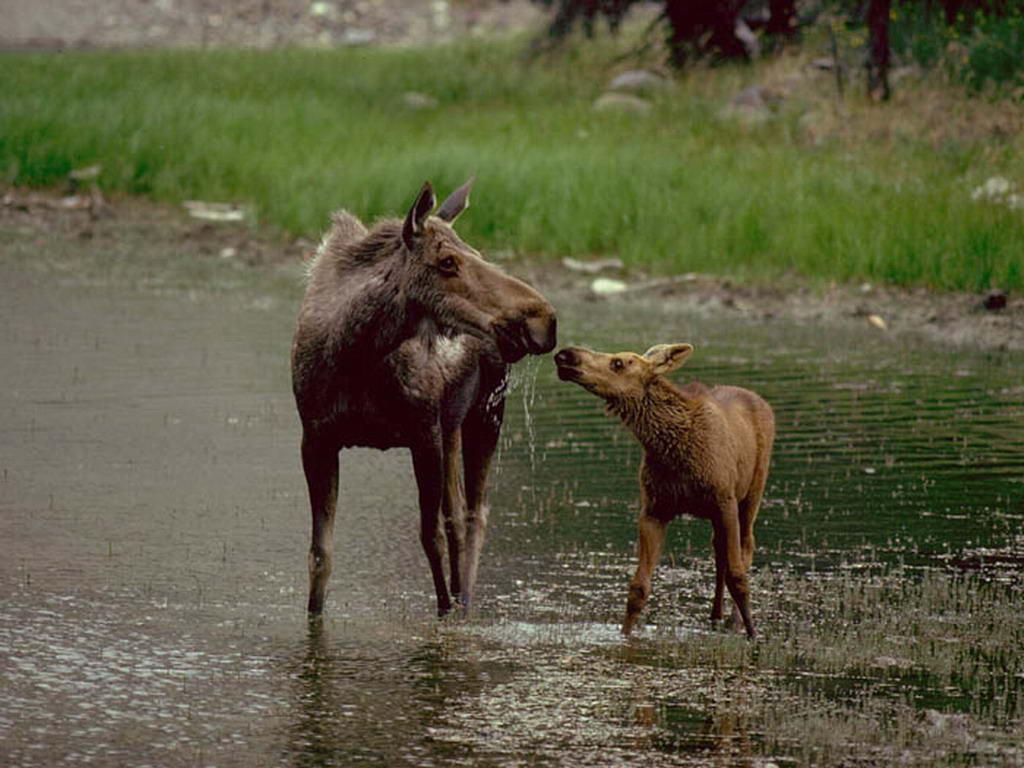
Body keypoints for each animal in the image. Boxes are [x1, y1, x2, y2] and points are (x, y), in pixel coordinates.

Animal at [292, 177, 557, 618]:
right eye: (447, 261)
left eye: (477, 254)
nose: (543, 319)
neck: (354, 354)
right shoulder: (315, 440)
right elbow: (319, 555)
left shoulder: (422, 433)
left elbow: (430, 538)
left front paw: (446, 611)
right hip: (453, 425)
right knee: (457, 513)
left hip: (487, 414)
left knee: (474, 515)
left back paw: (464, 603)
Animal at [557, 342, 770, 638]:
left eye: (618, 363)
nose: (565, 354)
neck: (671, 448)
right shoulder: (654, 509)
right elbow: (638, 588)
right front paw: (624, 636)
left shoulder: (724, 500)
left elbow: (738, 578)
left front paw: (754, 635)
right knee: (718, 551)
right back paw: (715, 616)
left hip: (751, 493)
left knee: (746, 545)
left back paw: (733, 621)